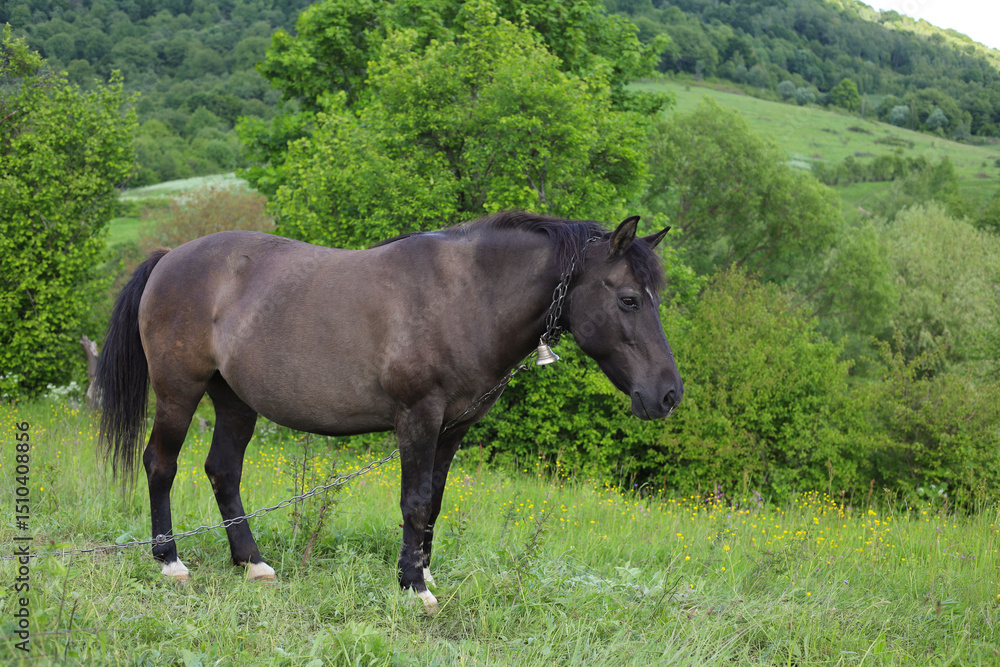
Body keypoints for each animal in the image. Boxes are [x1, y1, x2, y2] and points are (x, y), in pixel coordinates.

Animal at [95, 211, 683, 612]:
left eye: (656, 297)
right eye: (629, 299)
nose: (668, 394)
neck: (466, 296)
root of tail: (170, 257)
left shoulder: (452, 430)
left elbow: (435, 505)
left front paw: (422, 573)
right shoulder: (418, 419)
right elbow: (415, 502)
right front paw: (413, 588)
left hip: (235, 401)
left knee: (223, 471)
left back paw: (252, 562)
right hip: (179, 392)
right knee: (161, 464)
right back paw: (170, 561)